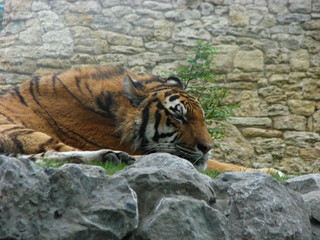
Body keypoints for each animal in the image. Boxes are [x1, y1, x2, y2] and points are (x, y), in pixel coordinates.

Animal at [0, 65, 282, 174]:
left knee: (43, 156)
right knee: (52, 152)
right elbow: (222, 165)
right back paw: (116, 157)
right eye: (178, 116)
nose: (208, 147)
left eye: (202, 118)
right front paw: (275, 170)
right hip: (15, 128)